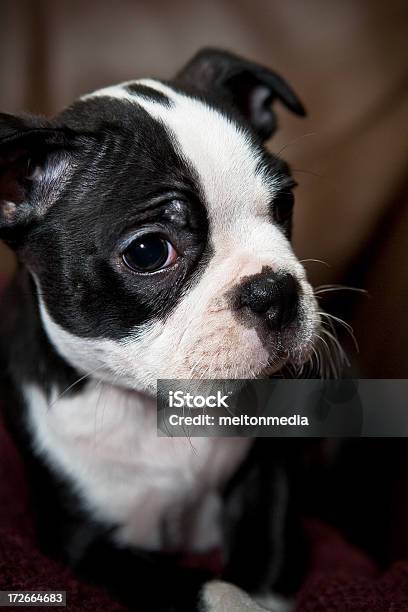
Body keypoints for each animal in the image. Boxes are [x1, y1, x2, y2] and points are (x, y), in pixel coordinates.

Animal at [0, 49, 326, 612]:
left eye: (283, 206)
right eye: (149, 251)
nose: (274, 291)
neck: (160, 409)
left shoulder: (266, 475)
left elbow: (263, 564)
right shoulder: (82, 543)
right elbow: (209, 587)